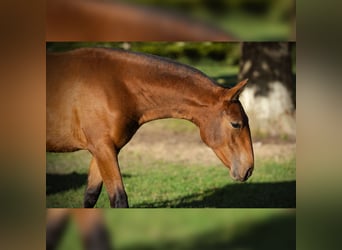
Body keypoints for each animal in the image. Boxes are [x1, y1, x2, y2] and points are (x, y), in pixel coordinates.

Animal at [46, 47, 254, 207]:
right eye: (236, 124)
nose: (249, 169)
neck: (116, 86)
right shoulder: (102, 148)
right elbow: (119, 198)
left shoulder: (103, 150)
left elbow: (90, 196)